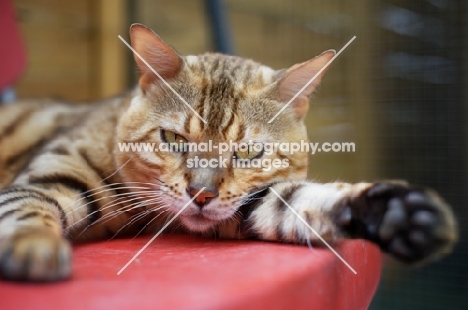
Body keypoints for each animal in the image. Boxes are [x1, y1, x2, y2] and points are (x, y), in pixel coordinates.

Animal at [0, 24, 458, 280]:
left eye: (249, 152)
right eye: (174, 139)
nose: (200, 195)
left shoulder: (249, 203)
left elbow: (299, 201)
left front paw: (397, 212)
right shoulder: (47, 177)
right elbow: (26, 207)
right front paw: (32, 245)